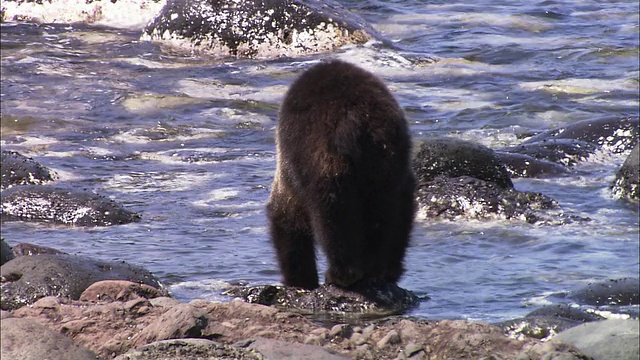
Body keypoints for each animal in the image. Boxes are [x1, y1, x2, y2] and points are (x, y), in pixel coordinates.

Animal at [264, 59, 416, 290]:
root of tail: (357, 117)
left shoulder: (290, 170)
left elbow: (288, 218)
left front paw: (300, 279)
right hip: (388, 158)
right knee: (392, 209)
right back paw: (382, 269)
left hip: (323, 154)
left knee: (333, 211)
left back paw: (341, 273)